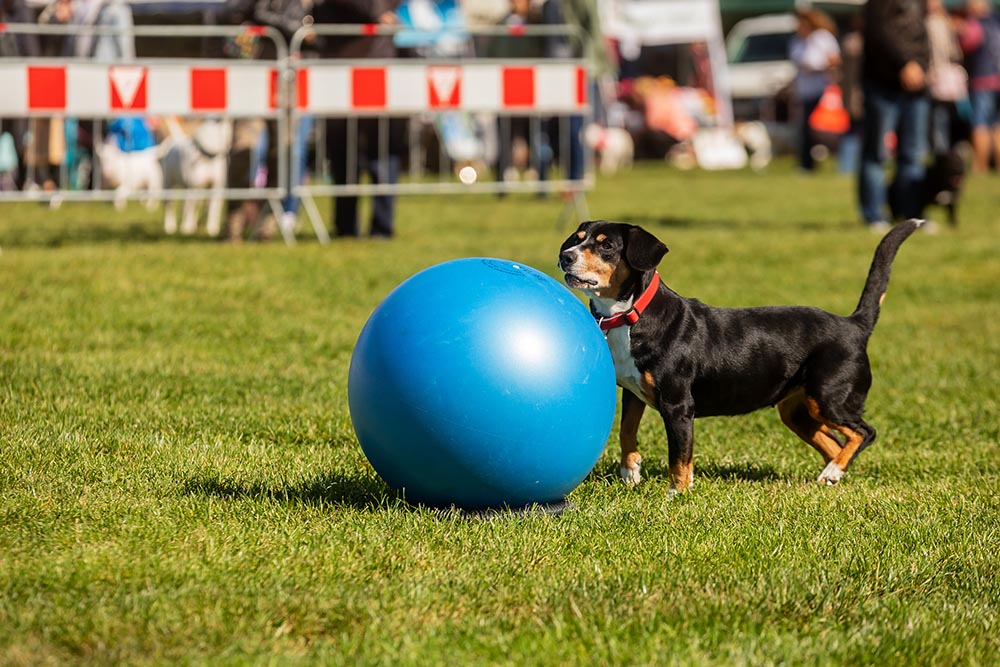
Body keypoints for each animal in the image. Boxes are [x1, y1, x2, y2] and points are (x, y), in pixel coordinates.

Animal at [560, 222, 916, 494]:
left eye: (607, 246)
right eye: (578, 239)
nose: (565, 256)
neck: (632, 316)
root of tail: (854, 324)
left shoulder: (678, 406)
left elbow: (680, 456)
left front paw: (677, 493)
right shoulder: (633, 393)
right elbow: (626, 431)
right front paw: (630, 472)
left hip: (828, 398)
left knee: (864, 432)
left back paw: (833, 471)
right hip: (797, 411)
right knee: (834, 442)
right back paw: (829, 476)